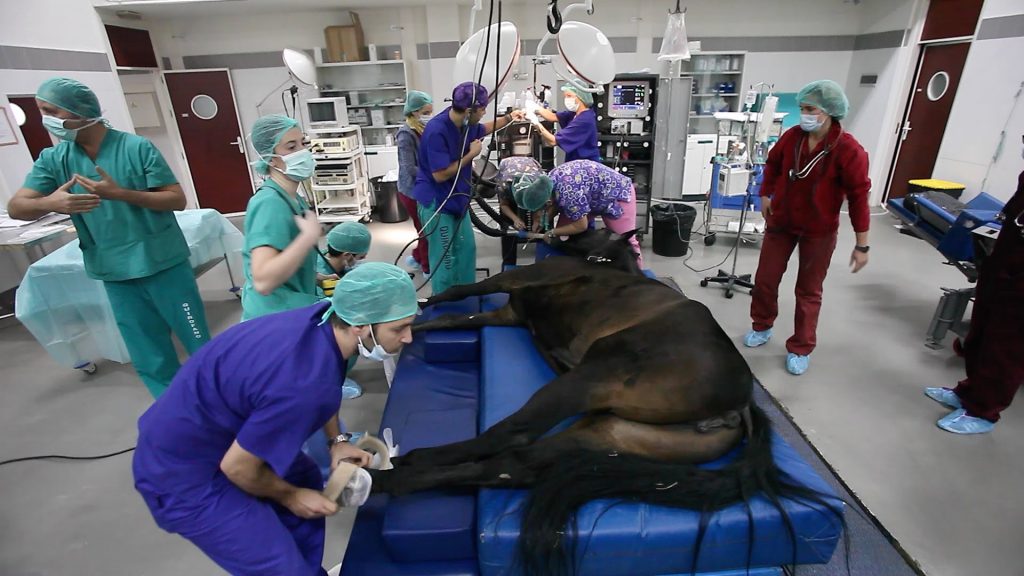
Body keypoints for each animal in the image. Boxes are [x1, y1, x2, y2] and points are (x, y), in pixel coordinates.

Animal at [368, 228, 839, 573]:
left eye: (592, 223)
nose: (554, 228)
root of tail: (738, 405)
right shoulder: (508, 314)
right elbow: (452, 318)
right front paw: (409, 325)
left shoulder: (517, 282)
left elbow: (465, 289)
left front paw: (420, 300)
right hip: (610, 432)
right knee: (511, 465)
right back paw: (393, 480)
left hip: (590, 378)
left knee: (509, 435)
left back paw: (406, 464)